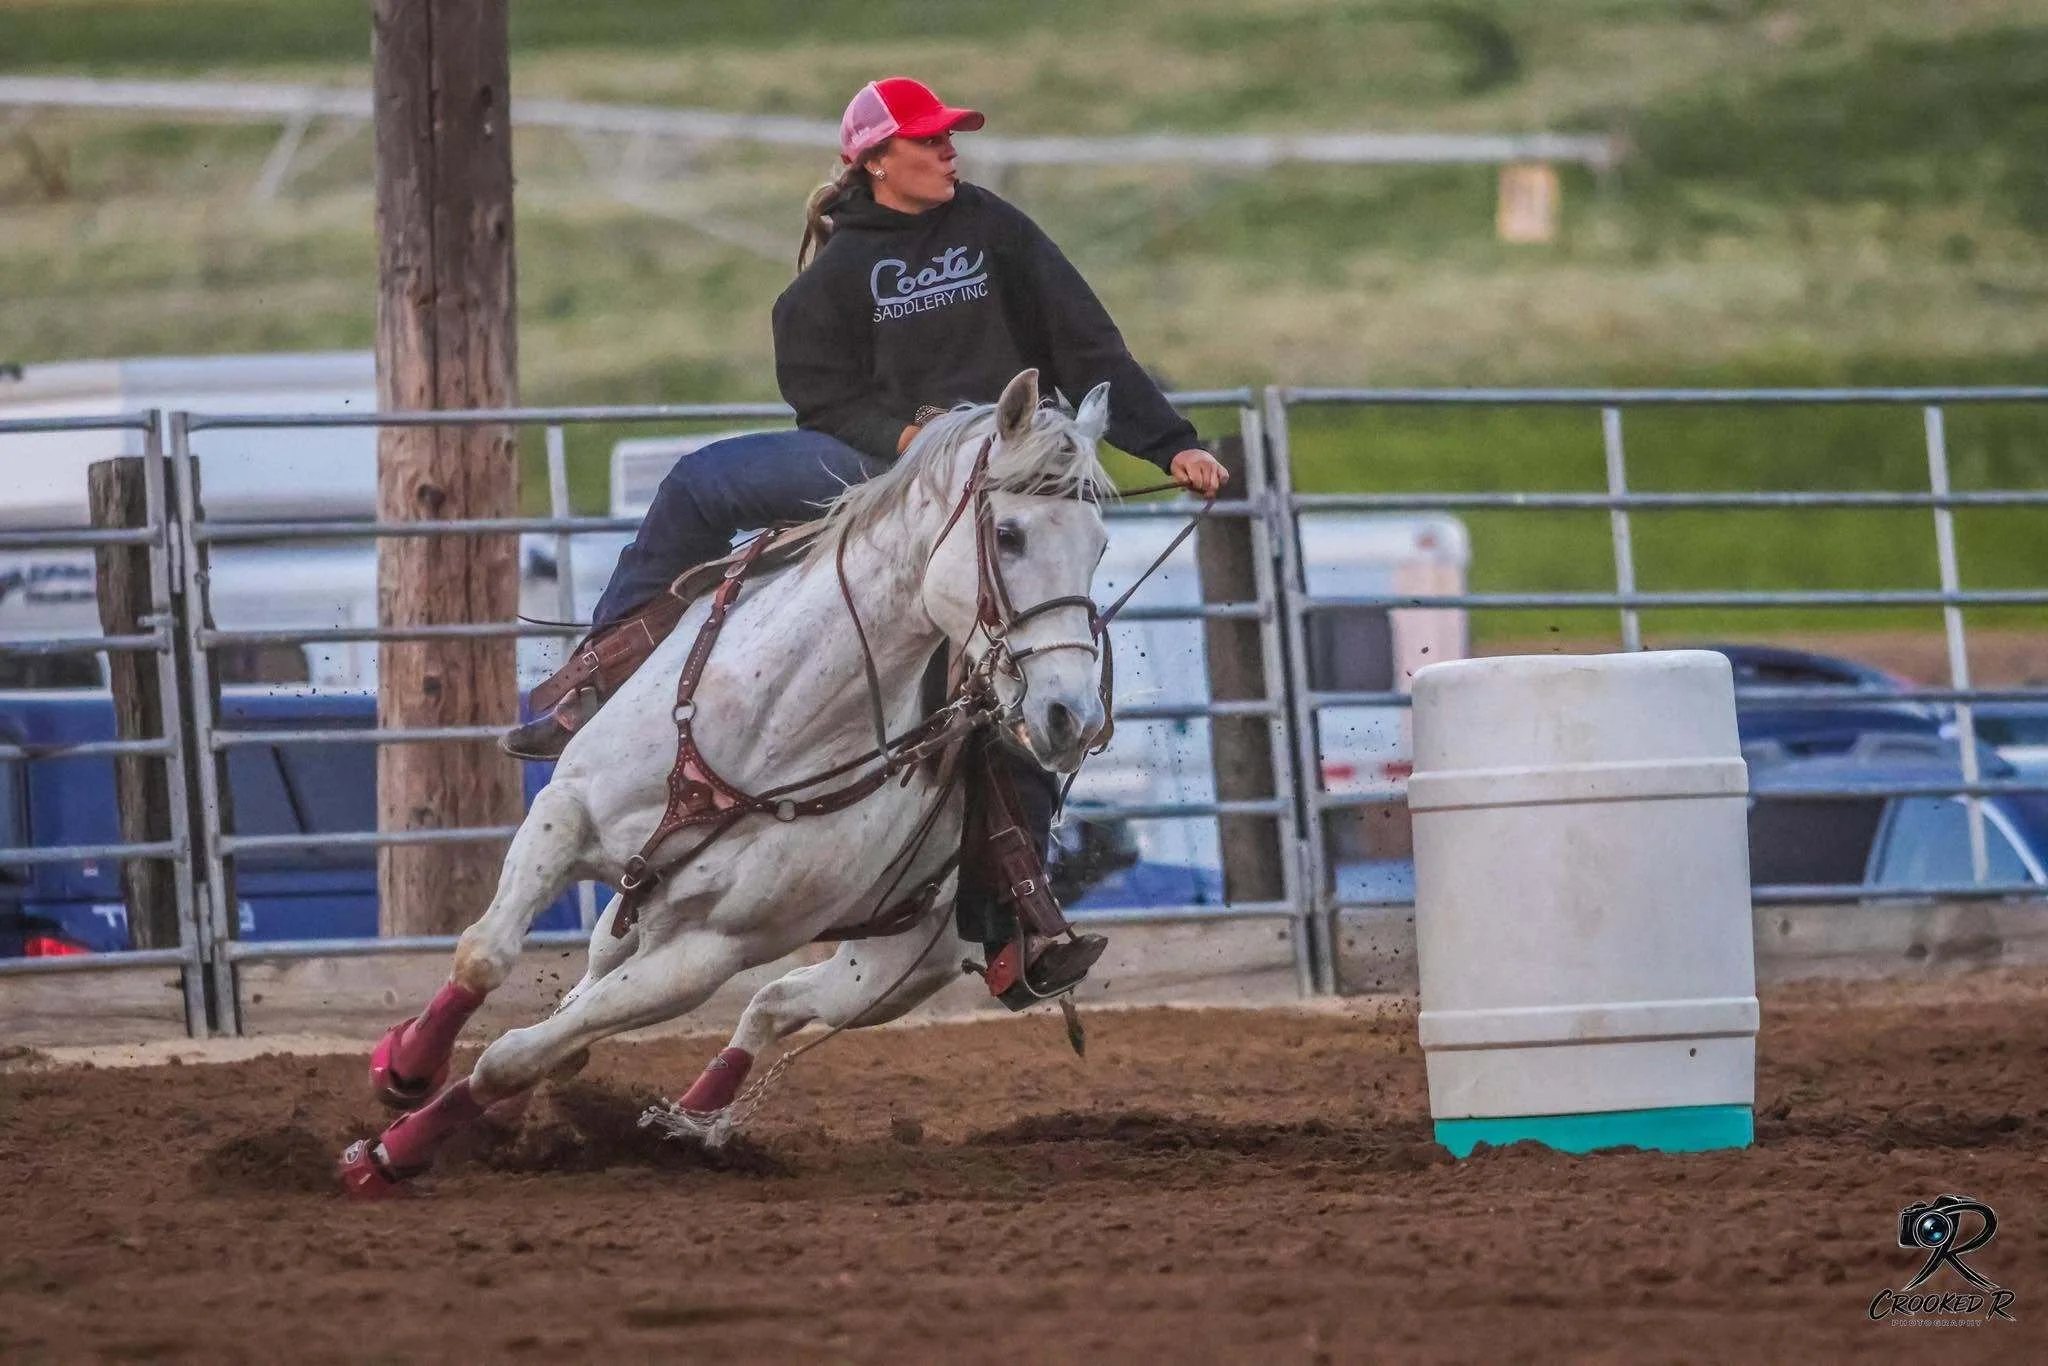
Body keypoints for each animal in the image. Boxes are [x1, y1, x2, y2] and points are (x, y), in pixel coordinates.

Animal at [338, 368, 1116, 1196]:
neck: (774, 720)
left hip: (895, 968)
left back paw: (687, 1119)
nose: (1072, 715)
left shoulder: (708, 952)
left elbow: (513, 1056)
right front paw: (403, 1069)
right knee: (622, 985)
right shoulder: (568, 812)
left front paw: (389, 1153)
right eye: (1010, 535)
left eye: (1098, 545)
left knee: (768, 1006)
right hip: (656, 905)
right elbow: (484, 952)